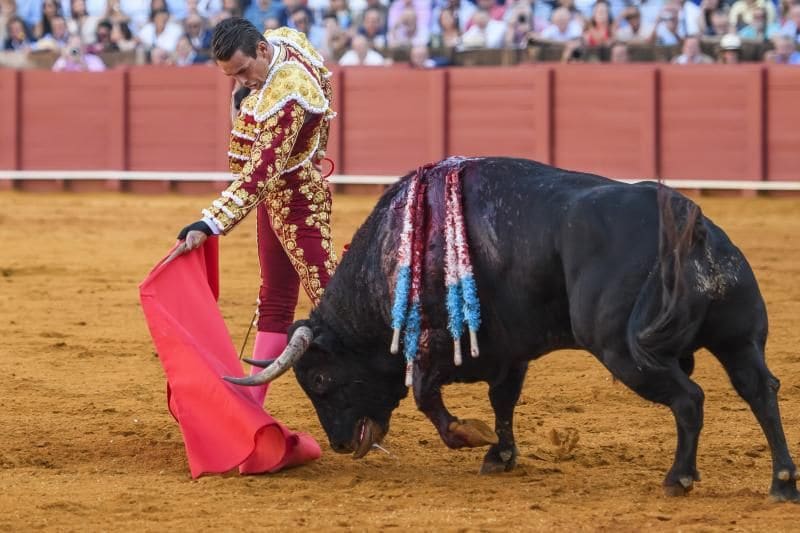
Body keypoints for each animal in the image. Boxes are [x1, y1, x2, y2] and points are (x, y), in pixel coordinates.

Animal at [227, 156, 800, 500]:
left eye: (321, 380)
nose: (343, 444)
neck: (400, 251)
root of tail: (686, 220)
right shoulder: (510, 349)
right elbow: (503, 401)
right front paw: (499, 454)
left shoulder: (440, 346)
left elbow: (426, 395)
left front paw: (468, 435)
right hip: (737, 339)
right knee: (759, 390)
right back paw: (782, 482)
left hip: (622, 349)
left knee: (689, 399)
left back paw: (678, 478)